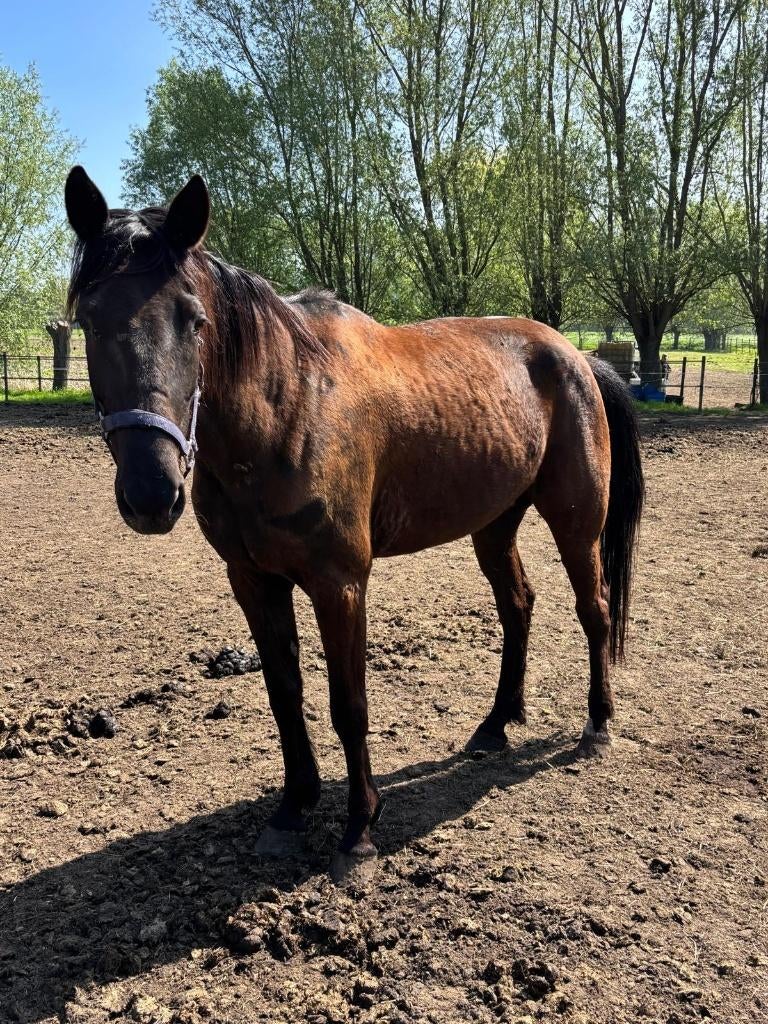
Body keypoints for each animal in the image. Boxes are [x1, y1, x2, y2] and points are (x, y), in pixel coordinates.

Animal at [64, 166, 644, 882]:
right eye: (88, 319)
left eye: (194, 320)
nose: (152, 492)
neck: (288, 406)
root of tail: (577, 357)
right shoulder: (253, 581)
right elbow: (285, 695)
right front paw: (292, 808)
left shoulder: (339, 583)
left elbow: (349, 703)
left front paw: (358, 830)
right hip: (493, 524)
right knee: (518, 606)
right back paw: (496, 725)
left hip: (576, 522)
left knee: (594, 611)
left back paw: (597, 725)